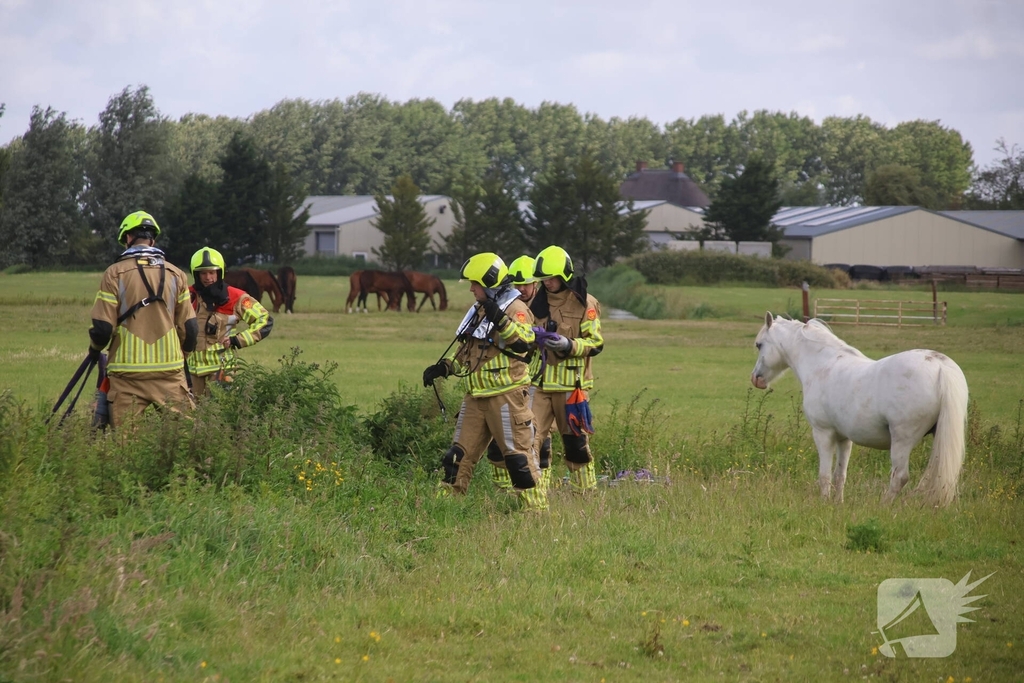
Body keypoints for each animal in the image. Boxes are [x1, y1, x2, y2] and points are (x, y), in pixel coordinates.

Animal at [750, 313, 968, 507]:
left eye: (759, 344)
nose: (756, 379)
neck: (823, 365)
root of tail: (940, 365)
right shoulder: (844, 439)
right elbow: (840, 475)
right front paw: (838, 503)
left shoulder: (823, 433)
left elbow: (824, 475)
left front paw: (824, 502)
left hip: (902, 440)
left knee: (900, 477)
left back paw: (883, 506)